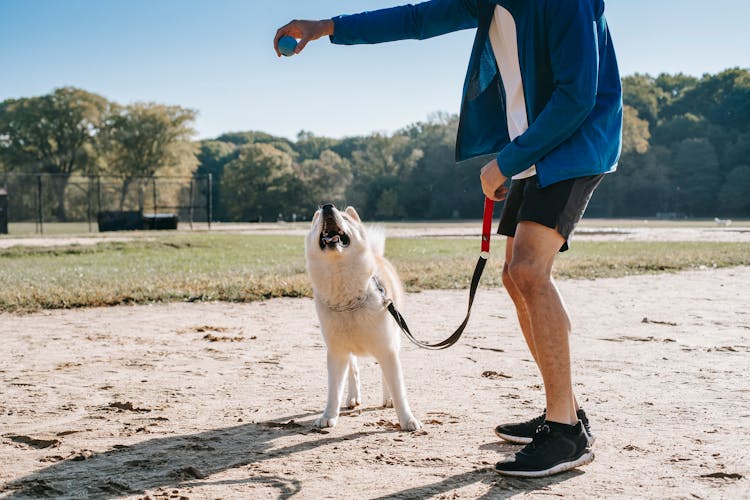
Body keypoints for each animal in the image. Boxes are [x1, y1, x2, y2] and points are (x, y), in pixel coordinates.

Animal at [306, 203, 424, 430]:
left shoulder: (387, 349)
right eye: (316, 222)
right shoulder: (337, 352)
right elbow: (334, 389)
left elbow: (399, 390)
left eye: (344, 217)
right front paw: (329, 415)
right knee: (353, 370)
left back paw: (387, 399)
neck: (347, 301)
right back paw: (352, 397)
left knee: (385, 376)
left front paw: (407, 419)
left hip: (393, 341)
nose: (327, 207)